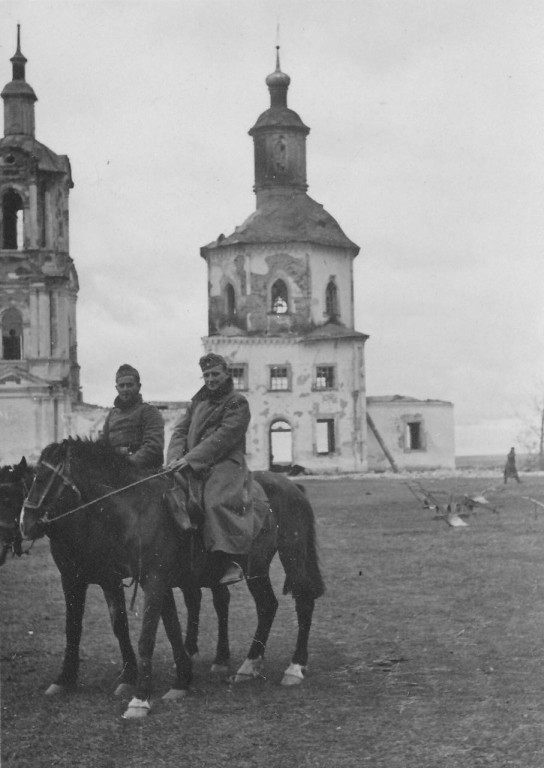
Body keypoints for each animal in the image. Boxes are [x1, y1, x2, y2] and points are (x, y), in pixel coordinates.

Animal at [21, 440, 326, 716]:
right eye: (31, 476)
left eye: (43, 478)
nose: (26, 523)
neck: (137, 510)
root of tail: (291, 486)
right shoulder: (136, 580)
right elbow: (168, 628)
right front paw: (181, 680)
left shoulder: (152, 581)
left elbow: (147, 636)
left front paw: (140, 698)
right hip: (257, 567)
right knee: (266, 606)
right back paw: (249, 664)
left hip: (293, 556)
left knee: (303, 602)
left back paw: (295, 667)